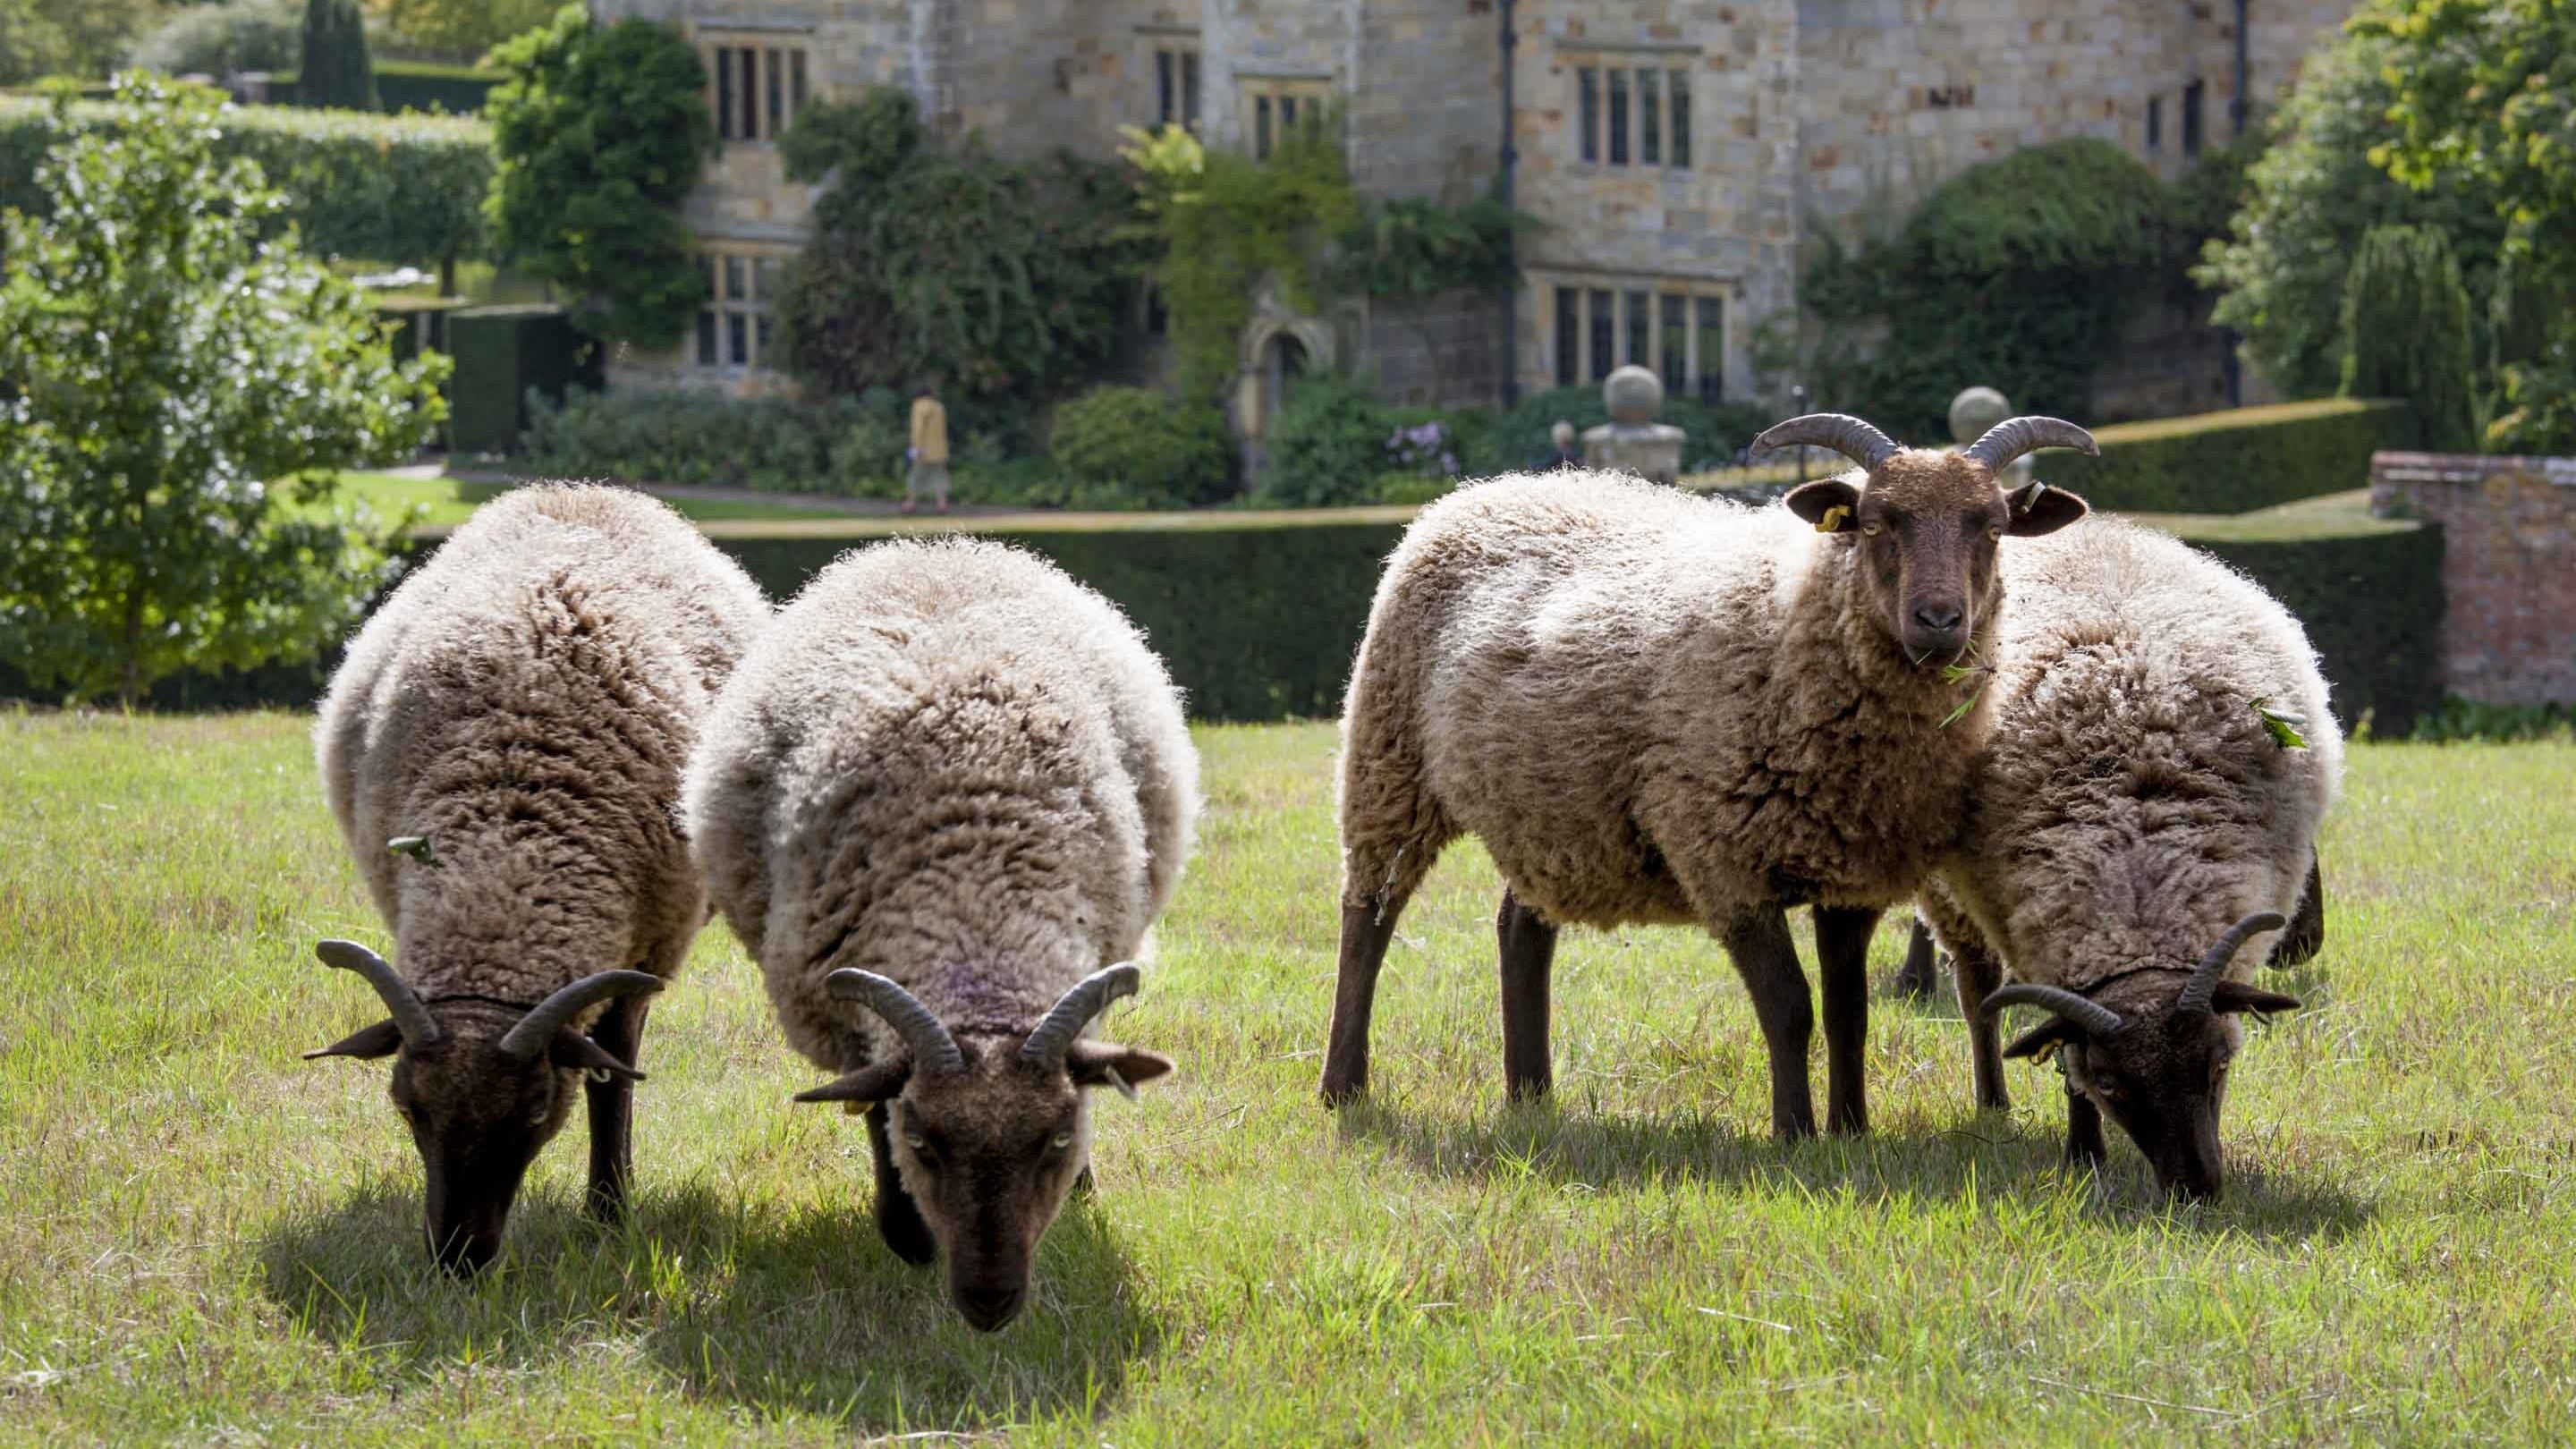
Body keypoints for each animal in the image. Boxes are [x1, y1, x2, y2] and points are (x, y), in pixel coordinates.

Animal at [306, 484, 770, 1273]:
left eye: (534, 1109)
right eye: (406, 1106)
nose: (458, 1259)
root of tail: (579, 488)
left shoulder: (643, 953)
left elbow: (612, 1080)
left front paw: (609, 1210)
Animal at [683, 537, 1196, 1332]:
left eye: (1055, 1137)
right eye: (923, 1143)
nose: (989, 1302)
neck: (974, 915)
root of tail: (939, 547)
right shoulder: (846, 1022)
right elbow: (872, 1109)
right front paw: (905, 1234)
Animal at [1321, 413, 2095, 1138]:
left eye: (1992, 528)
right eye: (1876, 523)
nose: (1939, 621)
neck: (1789, 624)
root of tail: (1483, 490)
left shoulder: (1853, 876)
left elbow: (1849, 1015)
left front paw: (1851, 1130)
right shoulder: (1724, 861)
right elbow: (1789, 1009)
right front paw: (1795, 1135)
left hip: (1552, 810)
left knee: (1520, 928)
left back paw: (1530, 1095)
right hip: (1388, 757)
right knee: (1369, 917)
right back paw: (1343, 1087)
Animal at [1919, 516, 2342, 1200]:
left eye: (2218, 1063)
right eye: (2111, 1083)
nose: (2196, 1189)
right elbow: (2064, 1060)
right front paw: (2084, 1156)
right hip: (1952, 895)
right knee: (1976, 987)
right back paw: (1993, 1102)